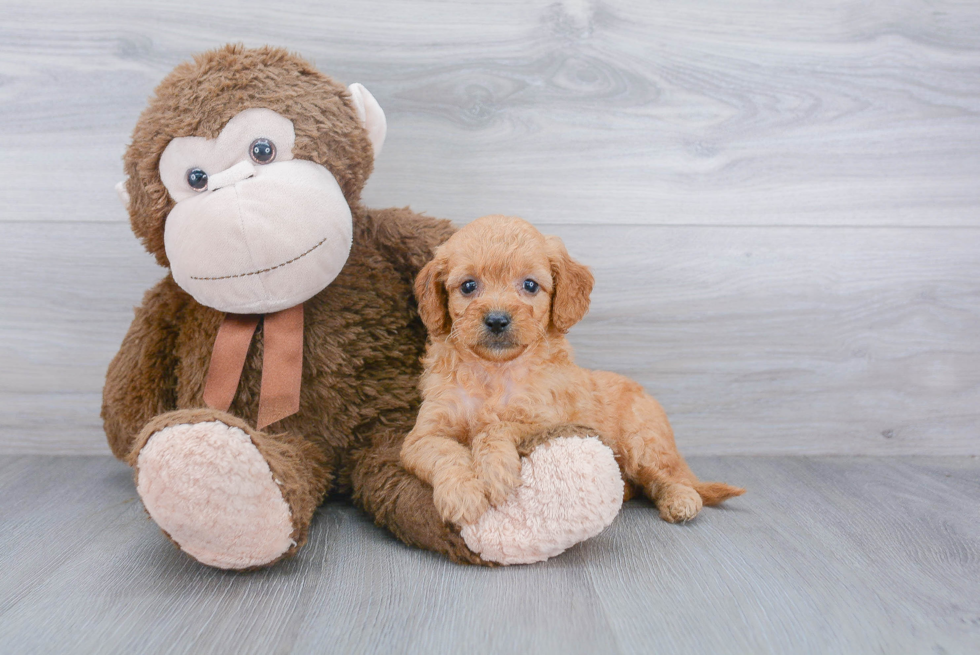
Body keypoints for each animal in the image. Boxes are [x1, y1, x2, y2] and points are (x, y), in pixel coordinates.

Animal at [400, 215, 744, 528]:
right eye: (468, 285)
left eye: (530, 285)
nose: (497, 320)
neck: (494, 371)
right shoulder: (422, 436)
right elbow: (447, 451)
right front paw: (462, 495)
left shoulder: (548, 420)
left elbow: (496, 427)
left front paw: (495, 472)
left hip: (643, 442)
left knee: (668, 476)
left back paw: (681, 499)